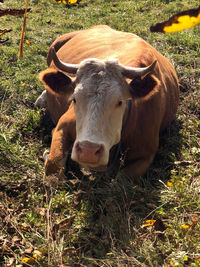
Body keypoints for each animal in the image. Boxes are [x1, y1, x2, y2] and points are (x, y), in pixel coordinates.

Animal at [36, 25, 180, 180]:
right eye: (74, 99)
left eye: (119, 102)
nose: (88, 151)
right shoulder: (63, 125)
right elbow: (53, 167)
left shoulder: (147, 155)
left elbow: (121, 178)